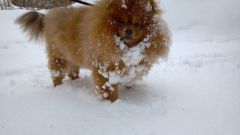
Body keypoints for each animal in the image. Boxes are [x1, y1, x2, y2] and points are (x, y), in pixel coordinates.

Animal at [15, 0, 170, 101]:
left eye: (138, 24)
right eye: (121, 21)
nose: (128, 30)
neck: (126, 48)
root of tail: (48, 16)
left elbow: (129, 79)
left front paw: (131, 90)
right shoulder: (105, 70)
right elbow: (109, 89)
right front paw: (114, 102)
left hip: (72, 56)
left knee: (72, 71)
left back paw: (76, 80)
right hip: (58, 56)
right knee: (56, 73)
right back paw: (58, 86)